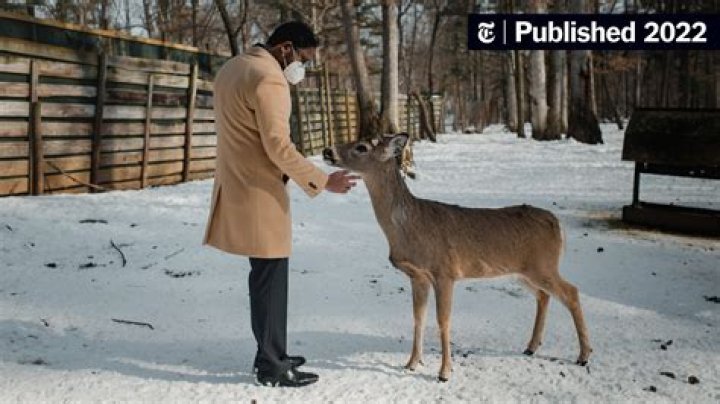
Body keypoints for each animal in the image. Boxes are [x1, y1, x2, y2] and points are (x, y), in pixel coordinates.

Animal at [322, 133, 592, 382]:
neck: (409, 227)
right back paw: (531, 347)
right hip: (522, 271)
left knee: (571, 292)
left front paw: (444, 373)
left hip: (543, 265)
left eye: (362, 147)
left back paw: (583, 355)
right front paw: (411, 363)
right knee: (544, 296)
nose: (327, 150)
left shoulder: (445, 272)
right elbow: (418, 318)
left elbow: (443, 321)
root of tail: (557, 224)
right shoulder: (417, 276)